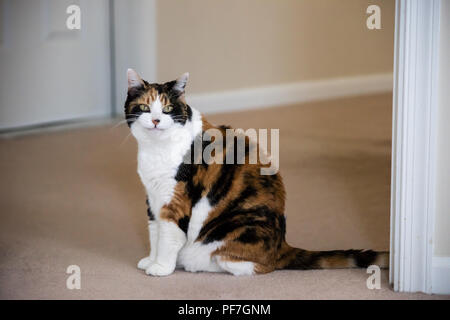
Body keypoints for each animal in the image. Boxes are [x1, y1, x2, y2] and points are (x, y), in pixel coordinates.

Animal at [125, 69, 388, 276]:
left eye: (168, 108)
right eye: (145, 108)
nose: (156, 120)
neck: (155, 150)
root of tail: (282, 245)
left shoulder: (175, 201)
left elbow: (168, 236)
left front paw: (161, 268)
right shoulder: (153, 198)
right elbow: (154, 232)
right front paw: (151, 260)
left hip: (232, 229)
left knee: (252, 265)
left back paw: (193, 262)